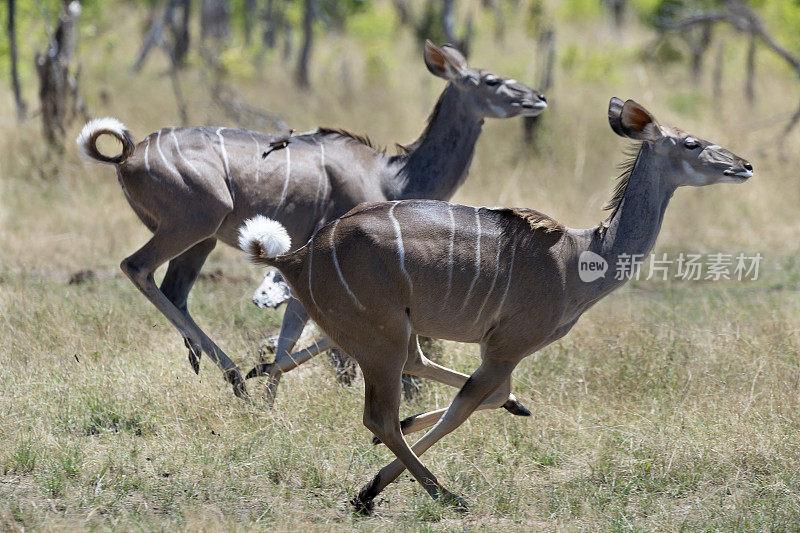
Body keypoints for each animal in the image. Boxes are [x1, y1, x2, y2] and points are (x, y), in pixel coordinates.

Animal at [78, 42, 548, 400]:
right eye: (491, 80)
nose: (538, 97)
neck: (391, 176)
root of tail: (128, 155)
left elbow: (292, 332)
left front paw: (267, 393)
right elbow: (312, 336)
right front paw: (264, 379)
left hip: (202, 239)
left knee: (176, 292)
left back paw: (219, 370)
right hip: (197, 220)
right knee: (137, 267)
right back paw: (235, 376)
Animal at [241, 97, 752, 510]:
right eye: (691, 143)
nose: (743, 165)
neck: (579, 259)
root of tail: (295, 256)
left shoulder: (499, 350)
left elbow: (484, 395)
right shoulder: (507, 346)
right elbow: (462, 408)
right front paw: (370, 488)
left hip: (393, 332)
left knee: (403, 376)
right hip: (382, 338)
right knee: (380, 415)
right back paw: (439, 494)